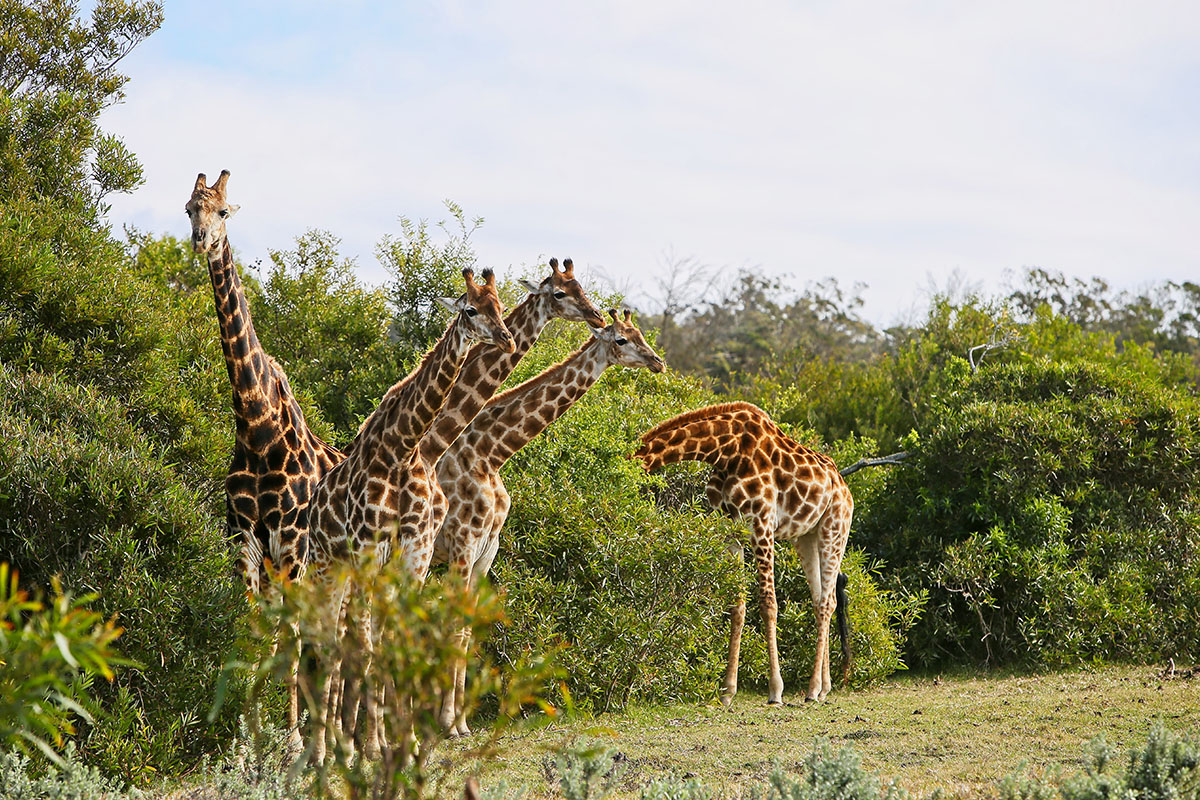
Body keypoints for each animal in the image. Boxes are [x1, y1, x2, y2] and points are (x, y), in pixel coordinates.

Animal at [183, 170, 343, 738]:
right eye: (189, 208)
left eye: (224, 212)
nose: (202, 241)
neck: (256, 427)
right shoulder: (247, 545)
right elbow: (252, 638)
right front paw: (246, 734)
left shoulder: (291, 543)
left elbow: (288, 644)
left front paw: (290, 739)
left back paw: (334, 733)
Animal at [302, 266, 513, 762]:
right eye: (470, 309)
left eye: (498, 304)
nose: (506, 338)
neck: (403, 447)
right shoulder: (367, 550)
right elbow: (367, 648)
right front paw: (367, 747)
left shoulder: (415, 551)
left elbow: (399, 640)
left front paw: (405, 740)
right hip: (326, 568)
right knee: (328, 644)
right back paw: (322, 750)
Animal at [432, 309, 667, 734]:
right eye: (621, 340)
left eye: (640, 333)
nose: (657, 362)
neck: (487, 453)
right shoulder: (462, 544)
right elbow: (455, 629)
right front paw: (448, 723)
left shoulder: (486, 550)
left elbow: (468, 629)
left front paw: (460, 721)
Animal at [638, 402, 854, 705]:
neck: (723, 450)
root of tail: (844, 487)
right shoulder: (730, 532)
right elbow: (737, 606)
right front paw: (727, 690)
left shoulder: (761, 525)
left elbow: (768, 603)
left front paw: (775, 690)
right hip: (806, 538)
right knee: (822, 599)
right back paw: (824, 687)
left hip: (835, 530)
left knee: (826, 602)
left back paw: (812, 690)